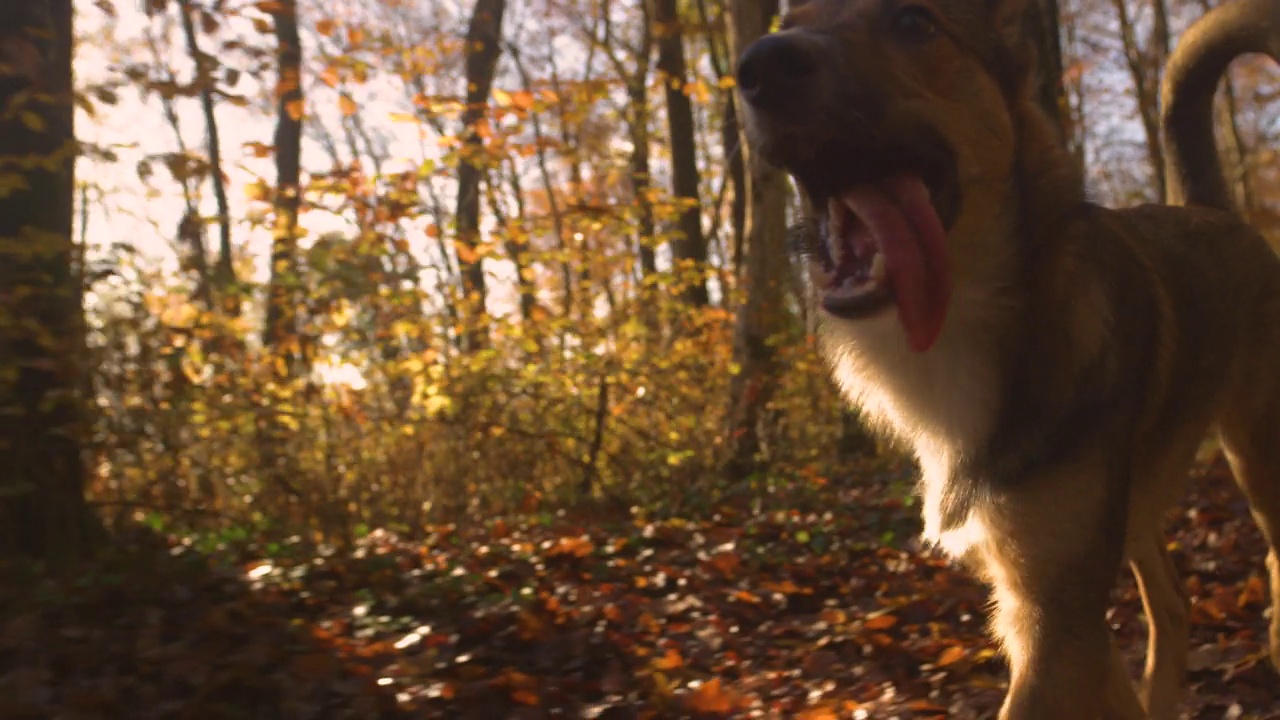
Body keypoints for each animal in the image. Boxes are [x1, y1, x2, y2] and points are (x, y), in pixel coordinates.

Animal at [737, 0, 1280, 712]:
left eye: (913, 22)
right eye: (786, 20)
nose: (759, 67)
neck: (961, 328)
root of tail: (1213, 210)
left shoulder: (1052, 614)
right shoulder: (1061, 609)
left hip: (1256, 455)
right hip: (1132, 505)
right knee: (1172, 602)